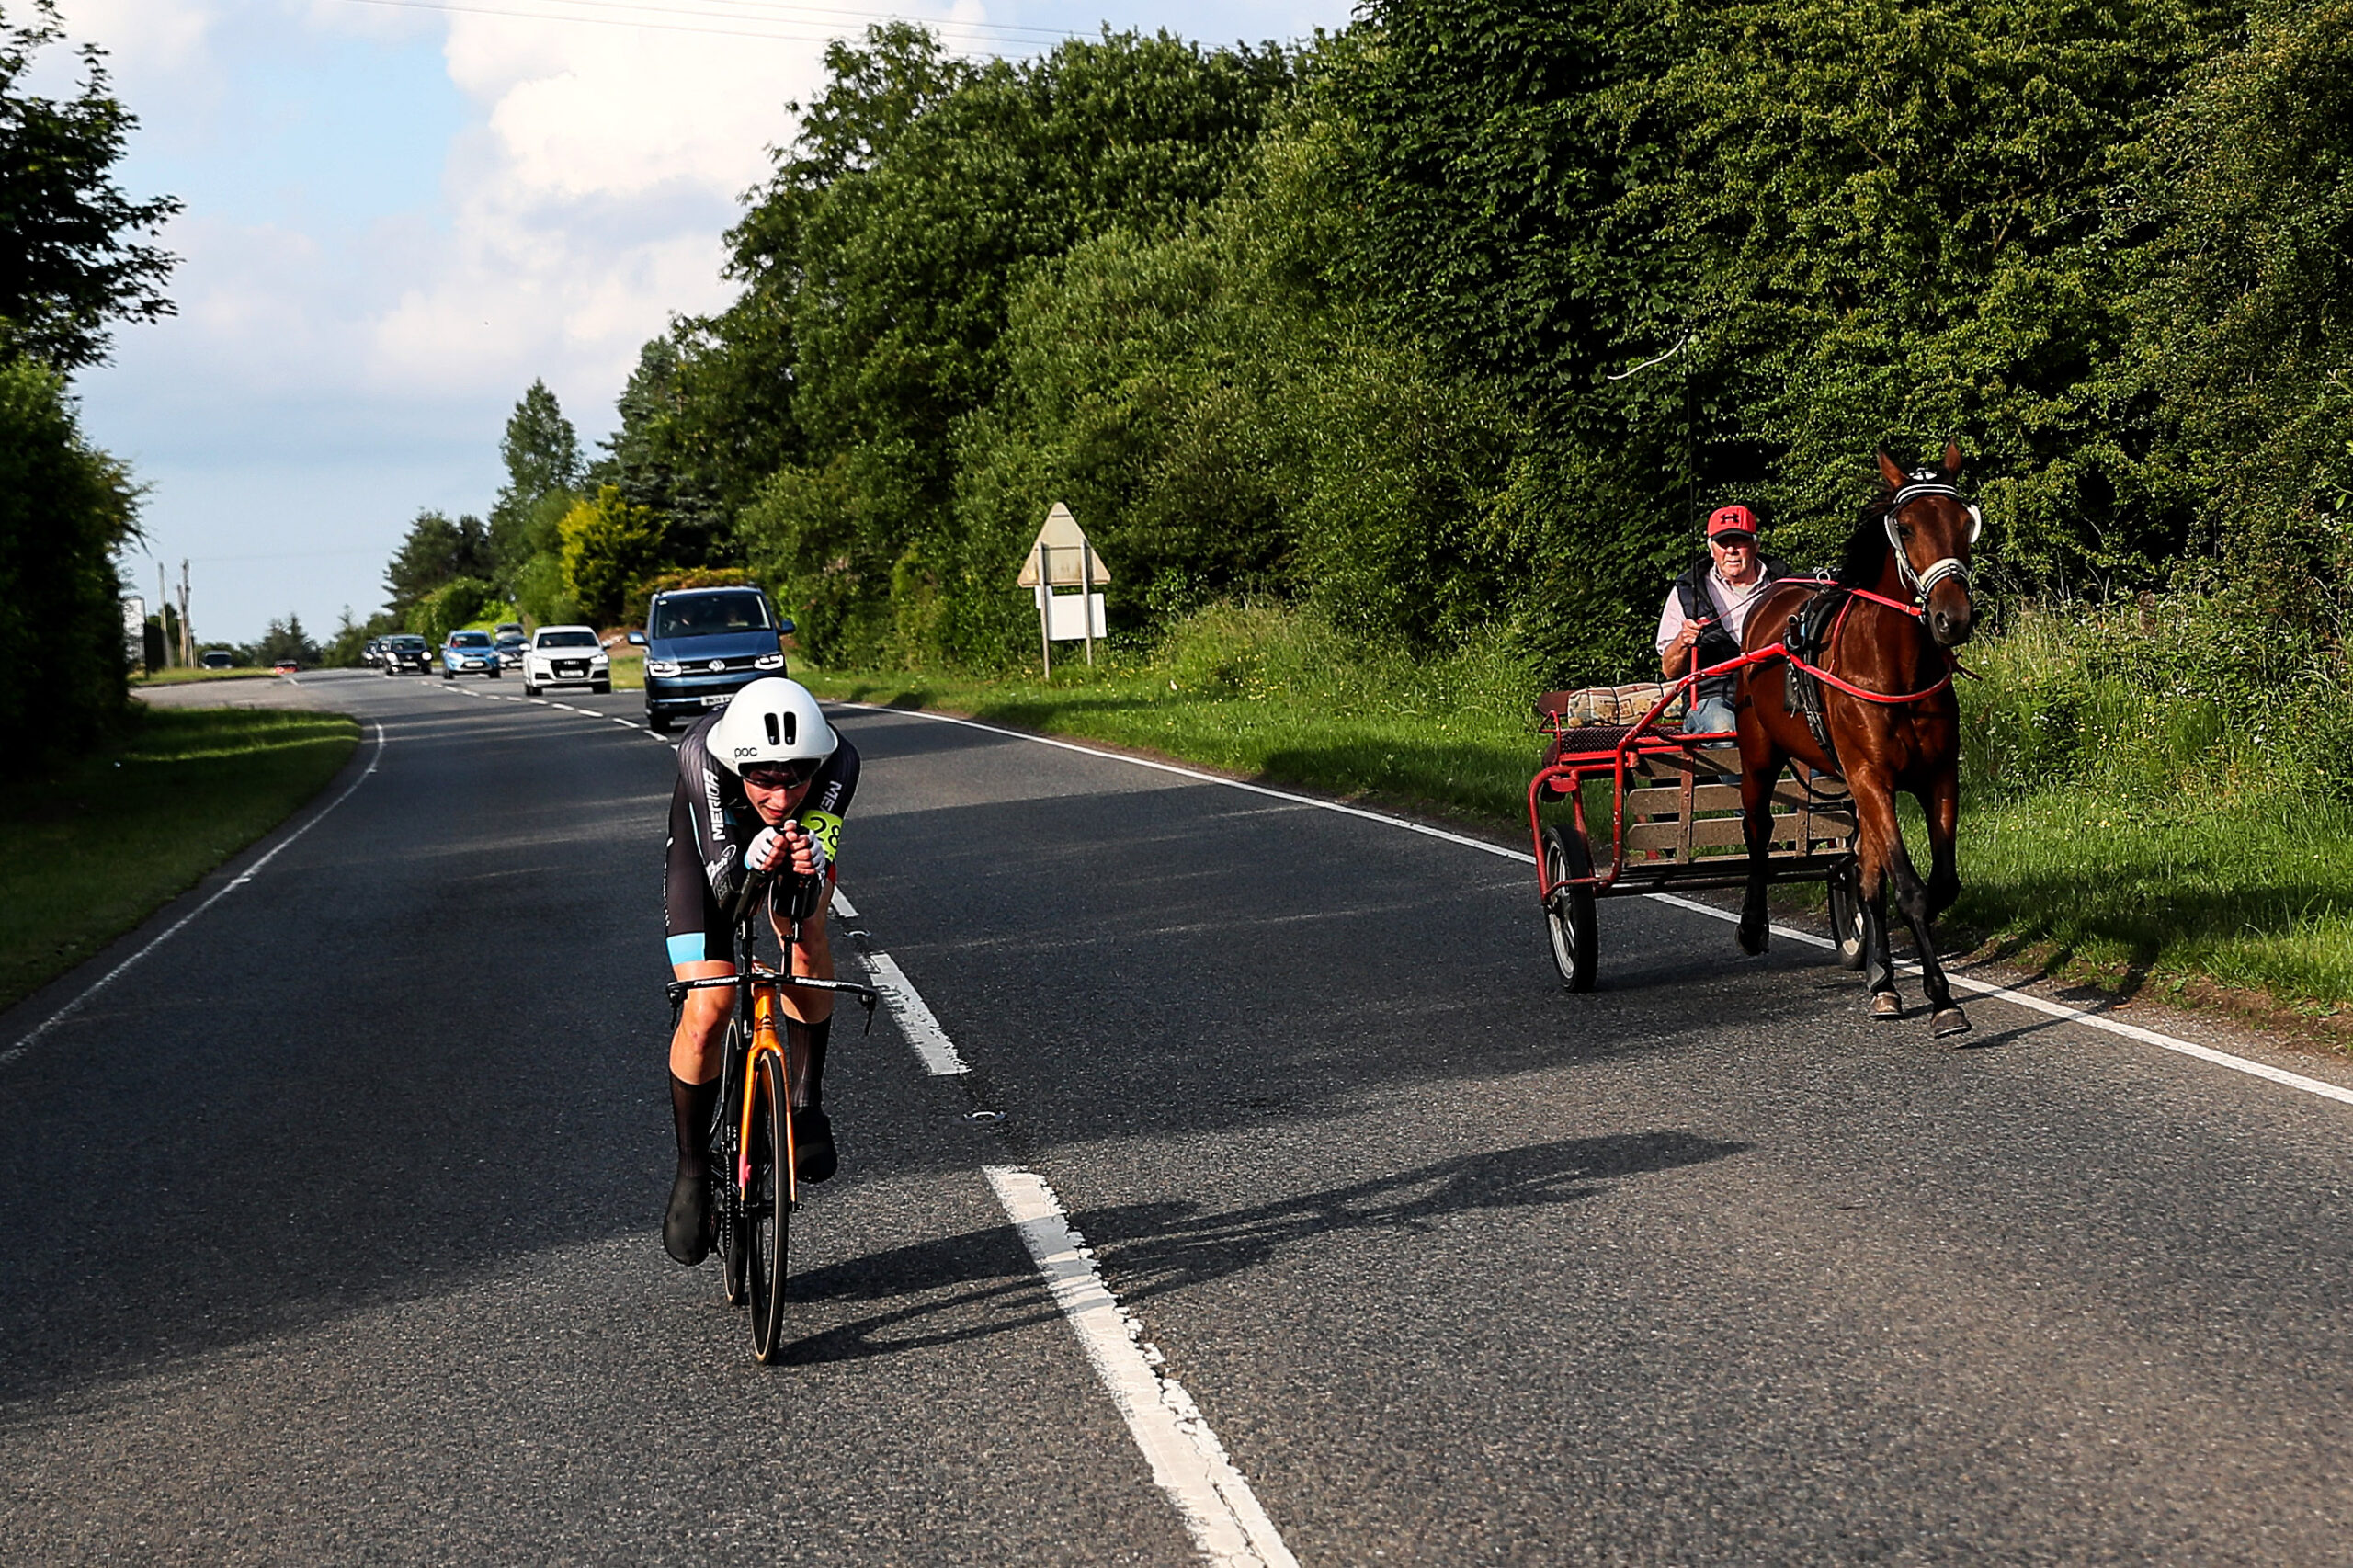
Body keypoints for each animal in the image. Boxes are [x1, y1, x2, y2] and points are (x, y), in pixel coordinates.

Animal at [1741, 440, 1976, 1030]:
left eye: (1965, 522)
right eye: (1907, 527)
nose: (1952, 618)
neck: (1898, 668)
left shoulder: (1937, 776)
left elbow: (1934, 884)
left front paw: (1888, 973)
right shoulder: (1872, 777)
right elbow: (1909, 890)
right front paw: (1942, 997)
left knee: (1866, 869)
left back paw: (1881, 977)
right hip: (1758, 755)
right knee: (1757, 831)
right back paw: (1753, 925)